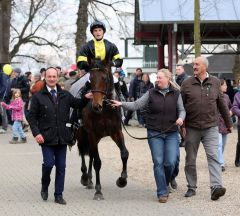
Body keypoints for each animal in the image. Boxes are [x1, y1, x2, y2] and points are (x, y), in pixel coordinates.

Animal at [76, 60, 129, 200]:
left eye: (104, 78)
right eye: (91, 78)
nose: (96, 106)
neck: (105, 109)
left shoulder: (116, 132)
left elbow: (124, 153)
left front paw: (122, 180)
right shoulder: (92, 134)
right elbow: (98, 162)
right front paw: (98, 191)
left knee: (90, 155)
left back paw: (89, 180)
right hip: (82, 134)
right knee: (83, 153)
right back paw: (85, 177)